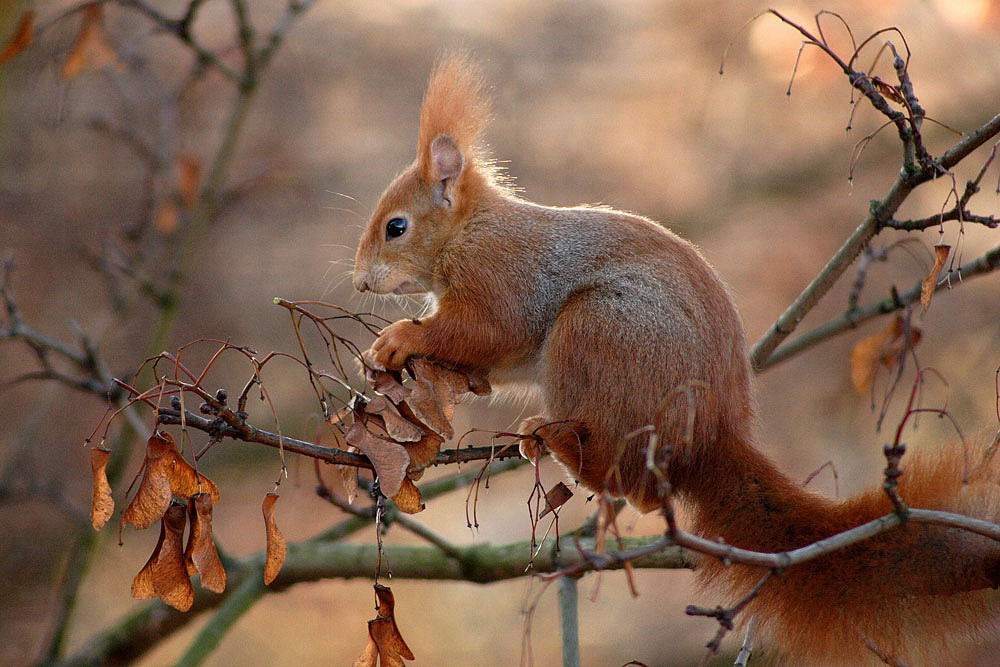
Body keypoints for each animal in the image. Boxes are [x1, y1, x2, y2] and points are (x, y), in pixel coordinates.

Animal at [350, 56, 1000, 664]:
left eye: (396, 227)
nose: (358, 282)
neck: (469, 229)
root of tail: (711, 435)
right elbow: (494, 358)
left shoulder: (501, 277)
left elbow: (478, 329)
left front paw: (401, 338)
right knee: (639, 491)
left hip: (595, 331)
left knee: (622, 472)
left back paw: (555, 438)